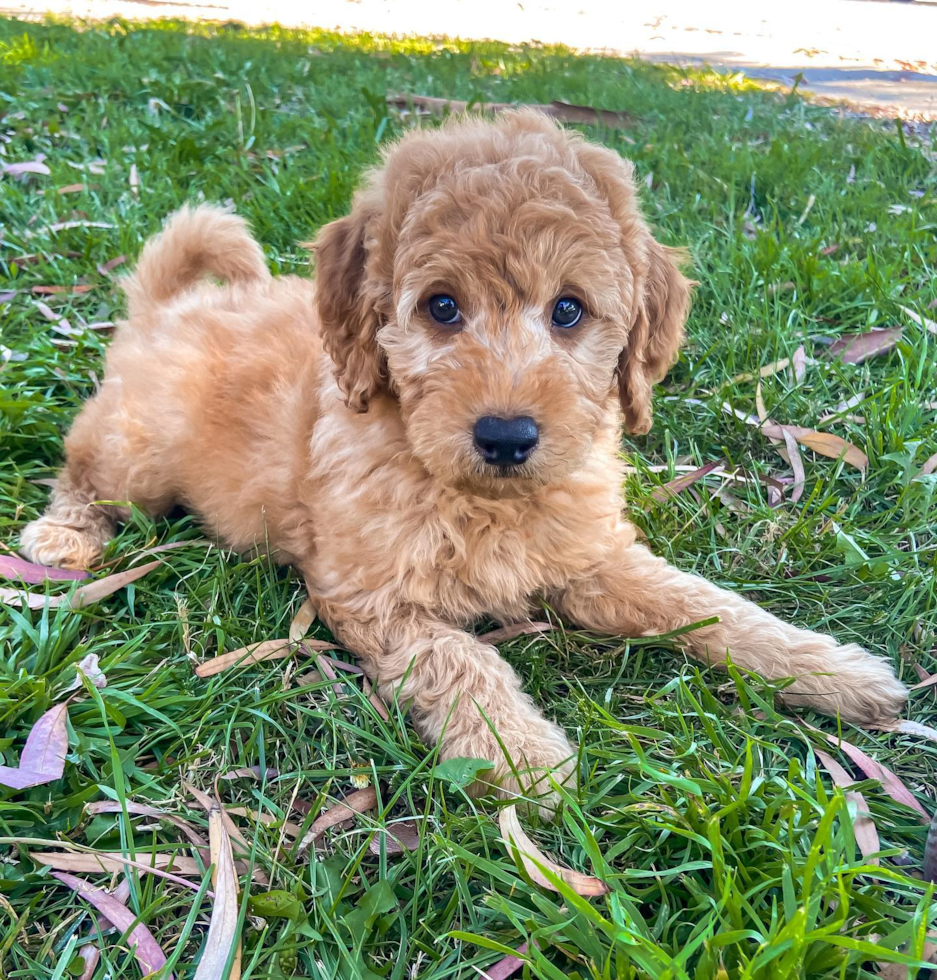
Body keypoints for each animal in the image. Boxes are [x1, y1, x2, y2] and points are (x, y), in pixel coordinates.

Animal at [22, 111, 908, 808]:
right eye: (440, 307)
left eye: (568, 310)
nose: (507, 435)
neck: (482, 495)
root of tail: (168, 307)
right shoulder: (373, 595)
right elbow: (459, 657)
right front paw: (522, 752)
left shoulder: (594, 560)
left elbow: (705, 602)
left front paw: (833, 672)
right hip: (136, 456)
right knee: (82, 471)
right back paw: (62, 538)